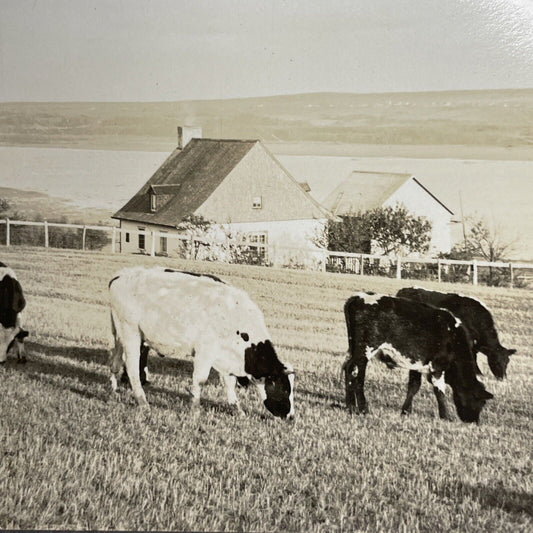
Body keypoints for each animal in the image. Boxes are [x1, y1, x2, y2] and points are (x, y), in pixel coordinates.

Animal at [106, 268, 294, 418]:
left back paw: (114, 390)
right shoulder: (205, 351)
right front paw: (195, 409)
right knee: (132, 367)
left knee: (115, 360)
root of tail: (121, 275)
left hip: (120, 334)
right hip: (130, 332)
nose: (291, 416)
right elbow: (200, 380)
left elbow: (229, 383)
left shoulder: (224, 356)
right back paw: (143, 402)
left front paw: (237, 409)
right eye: (285, 388)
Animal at [342, 294, 492, 422]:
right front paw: (446, 416)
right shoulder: (437, 366)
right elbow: (439, 390)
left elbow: (414, 386)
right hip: (365, 350)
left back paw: (350, 406)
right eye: (479, 400)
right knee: (357, 374)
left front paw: (405, 411)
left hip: (353, 349)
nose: (473, 421)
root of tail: (358, 297)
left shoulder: (417, 363)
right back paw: (362, 409)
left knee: (348, 369)